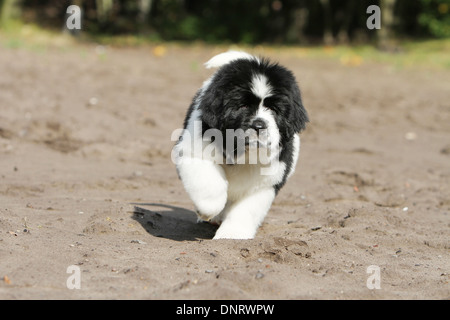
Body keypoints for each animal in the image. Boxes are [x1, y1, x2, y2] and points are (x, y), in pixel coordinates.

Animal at [173, 51, 310, 239]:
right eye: (243, 106)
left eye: (274, 109)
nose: (259, 125)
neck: (243, 152)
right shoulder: (194, 153)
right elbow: (210, 185)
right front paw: (208, 211)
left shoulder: (267, 181)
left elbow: (246, 209)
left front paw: (231, 235)